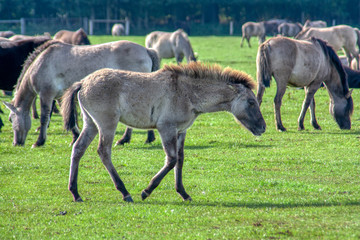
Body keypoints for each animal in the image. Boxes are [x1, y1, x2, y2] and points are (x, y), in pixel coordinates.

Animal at [3, 39, 159, 147]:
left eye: (10, 119)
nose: (16, 143)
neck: (43, 62)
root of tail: (146, 50)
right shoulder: (62, 96)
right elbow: (68, 116)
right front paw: (75, 137)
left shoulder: (46, 95)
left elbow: (44, 118)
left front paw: (39, 141)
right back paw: (148, 138)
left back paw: (124, 140)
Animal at [60, 62, 266, 202]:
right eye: (251, 102)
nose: (263, 127)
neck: (187, 92)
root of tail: (83, 82)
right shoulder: (166, 128)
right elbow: (171, 159)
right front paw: (147, 191)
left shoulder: (181, 131)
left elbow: (180, 160)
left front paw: (183, 193)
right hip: (107, 124)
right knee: (103, 151)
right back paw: (125, 192)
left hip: (91, 124)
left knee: (78, 149)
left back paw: (75, 193)